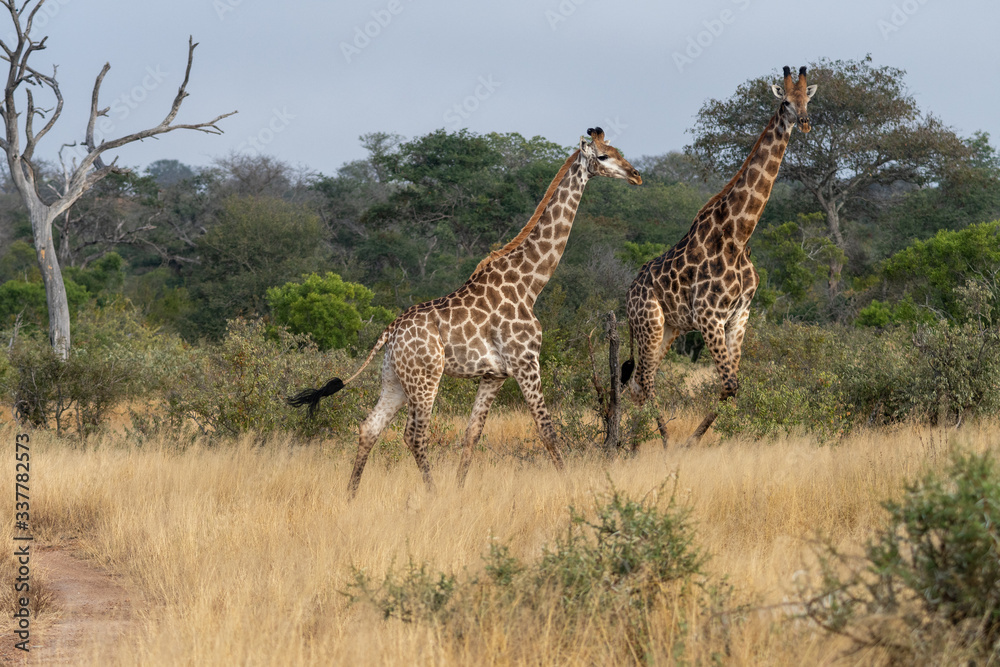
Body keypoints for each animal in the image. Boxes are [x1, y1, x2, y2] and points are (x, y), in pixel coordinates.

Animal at [289, 128, 642, 496]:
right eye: (602, 156)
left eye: (617, 149)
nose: (636, 175)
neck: (530, 285)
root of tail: (391, 331)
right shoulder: (526, 362)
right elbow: (547, 429)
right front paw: (570, 488)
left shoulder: (494, 376)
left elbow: (472, 435)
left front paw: (459, 491)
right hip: (426, 377)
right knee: (413, 435)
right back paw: (432, 494)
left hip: (395, 378)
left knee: (369, 427)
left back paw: (351, 495)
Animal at [622, 66, 816, 446]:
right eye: (785, 101)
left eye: (807, 100)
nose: (803, 122)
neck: (738, 235)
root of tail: (628, 292)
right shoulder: (709, 316)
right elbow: (729, 385)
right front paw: (691, 443)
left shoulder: (739, 316)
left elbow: (732, 388)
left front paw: (735, 438)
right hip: (649, 323)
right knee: (646, 382)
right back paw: (664, 443)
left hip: (669, 329)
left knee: (638, 383)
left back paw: (635, 442)